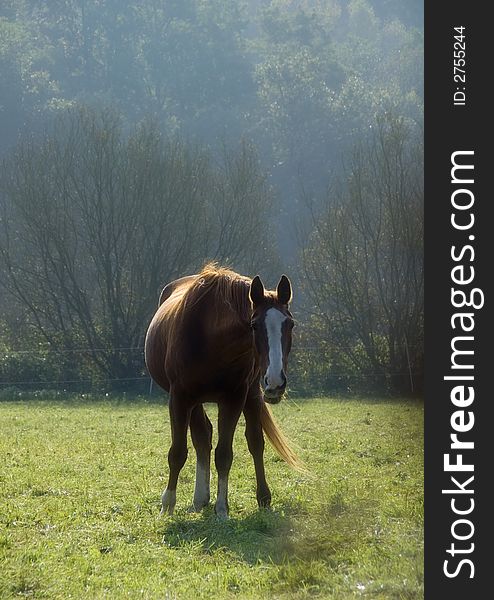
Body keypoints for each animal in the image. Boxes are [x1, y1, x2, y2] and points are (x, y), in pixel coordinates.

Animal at [144, 264, 302, 516]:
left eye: (290, 324)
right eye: (254, 325)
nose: (276, 381)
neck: (212, 339)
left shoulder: (233, 398)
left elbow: (224, 454)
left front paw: (222, 508)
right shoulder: (179, 398)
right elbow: (177, 452)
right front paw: (167, 504)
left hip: (252, 394)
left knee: (254, 442)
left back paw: (261, 497)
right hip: (195, 401)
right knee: (202, 437)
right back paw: (199, 498)